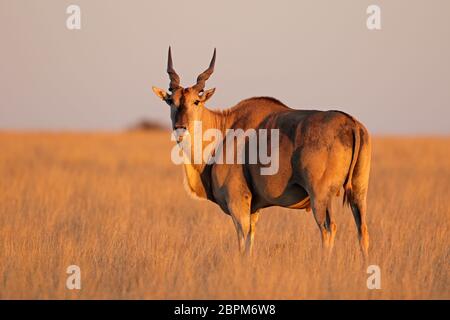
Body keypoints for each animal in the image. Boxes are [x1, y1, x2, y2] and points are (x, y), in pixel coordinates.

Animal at [153, 47, 370, 258]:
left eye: (196, 102)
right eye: (171, 101)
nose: (180, 128)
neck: (224, 128)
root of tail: (352, 124)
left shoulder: (238, 202)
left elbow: (242, 241)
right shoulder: (254, 210)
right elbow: (250, 240)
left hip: (320, 196)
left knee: (328, 229)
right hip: (357, 194)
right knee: (362, 231)